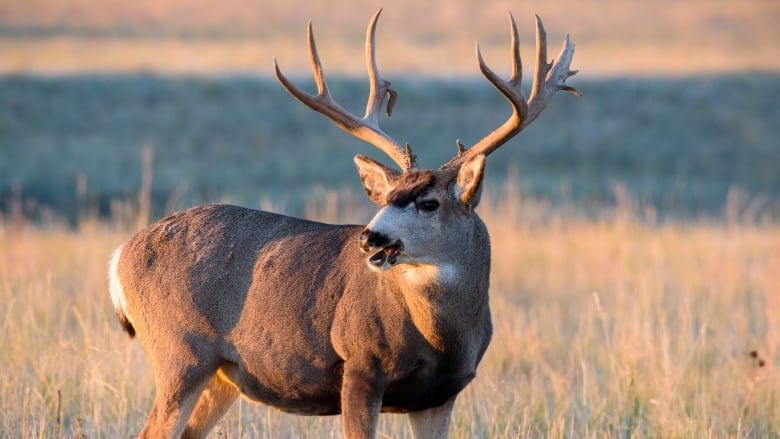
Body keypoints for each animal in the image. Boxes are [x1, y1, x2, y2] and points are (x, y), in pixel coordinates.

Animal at [108, 9, 578, 439]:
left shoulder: (442, 394)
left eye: (429, 203)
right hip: (180, 351)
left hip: (222, 373)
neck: (443, 338)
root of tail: (119, 256)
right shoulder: (360, 365)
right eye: (387, 197)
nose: (370, 236)